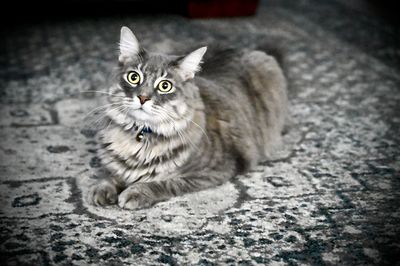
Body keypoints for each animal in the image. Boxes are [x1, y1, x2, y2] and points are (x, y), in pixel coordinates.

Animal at [87, 27, 288, 210]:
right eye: (133, 77)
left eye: (165, 86)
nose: (143, 98)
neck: (141, 136)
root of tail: (249, 49)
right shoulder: (114, 165)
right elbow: (110, 174)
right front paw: (102, 189)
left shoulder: (211, 171)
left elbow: (163, 183)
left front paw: (135, 192)